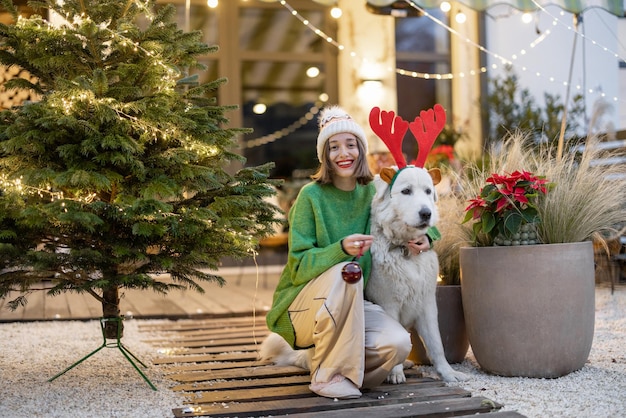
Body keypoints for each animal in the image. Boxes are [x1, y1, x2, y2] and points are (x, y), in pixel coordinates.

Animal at [364, 165, 466, 384]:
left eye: (428, 191)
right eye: (406, 191)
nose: (426, 213)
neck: (405, 249)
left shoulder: (427, 304)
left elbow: (436, 344)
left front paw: (448, 373)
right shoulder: (389, 304)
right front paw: (395, 373)